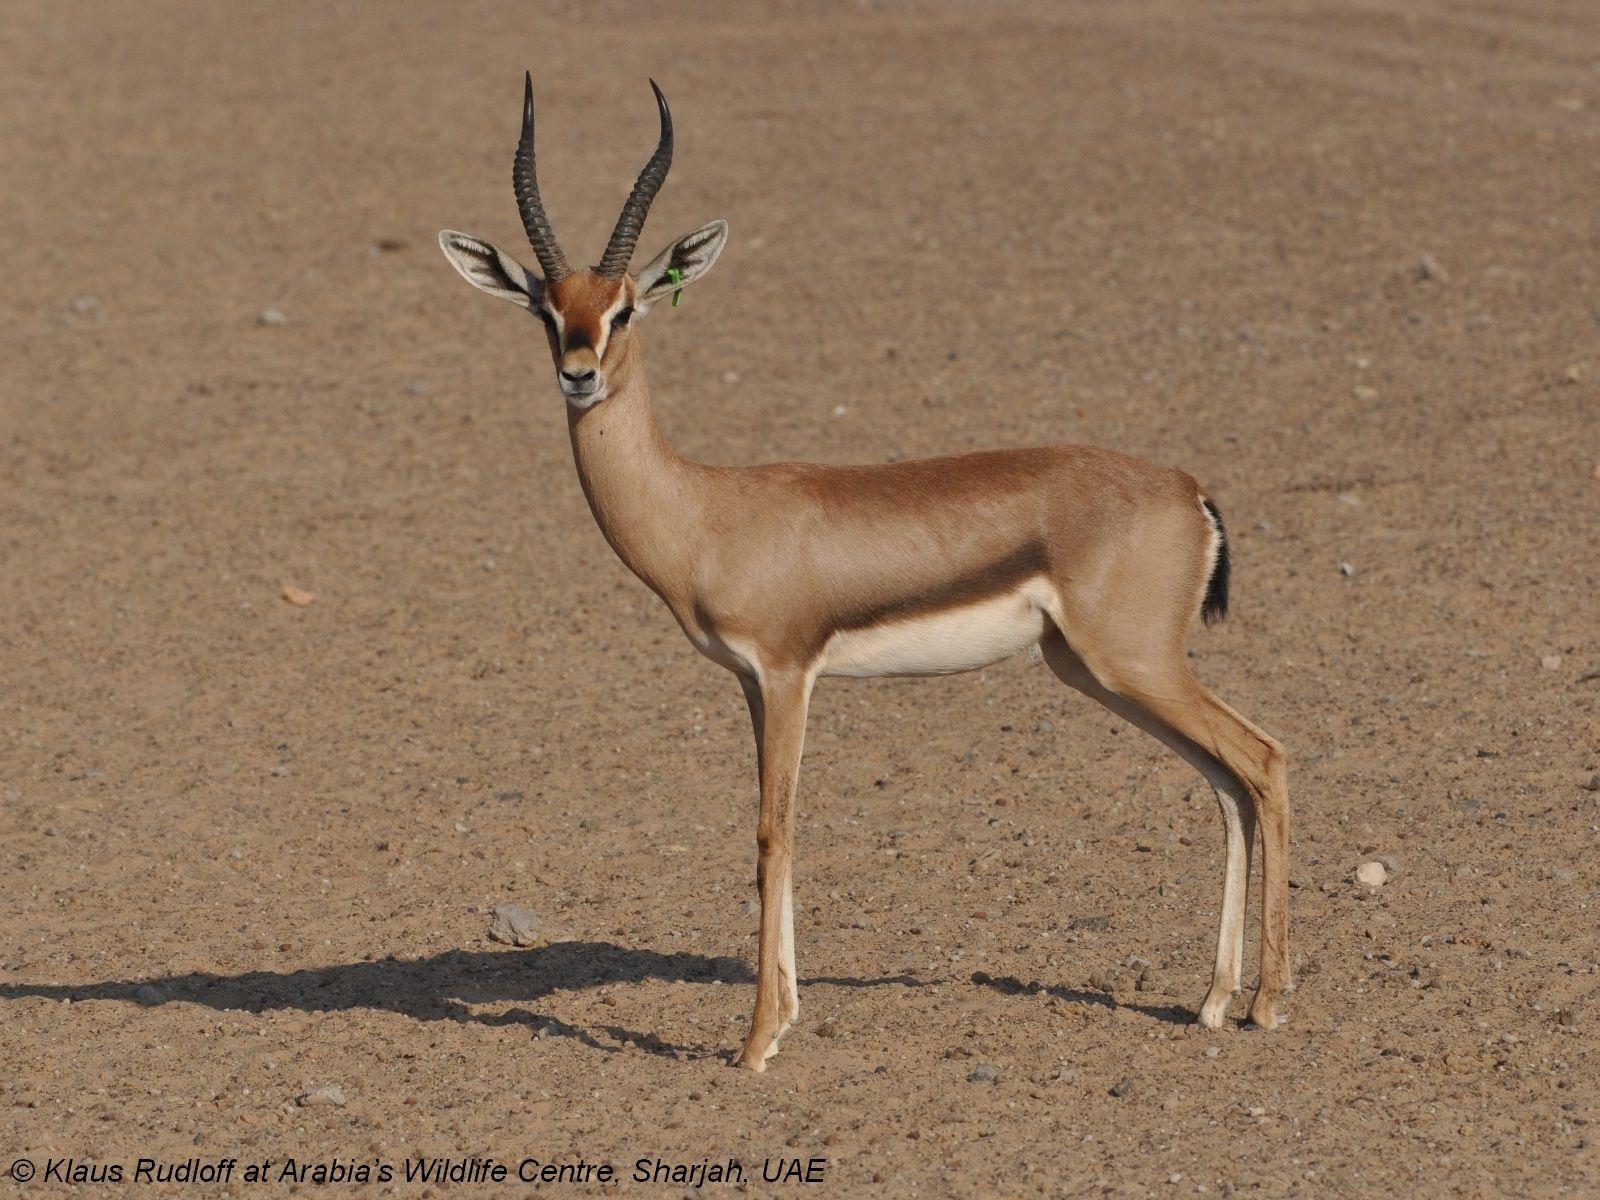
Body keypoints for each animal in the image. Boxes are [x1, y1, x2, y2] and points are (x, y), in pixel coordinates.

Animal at [439, 74, 1290, 1071]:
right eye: (547, 308)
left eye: (626, 308)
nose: (578, 374)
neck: (705, 510)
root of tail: (1189, 488)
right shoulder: (751, 683)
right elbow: (779, 829)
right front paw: (786, 1015)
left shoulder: (787, 673)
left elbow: (773, 830)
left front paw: (756, 1043)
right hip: (1095, 670)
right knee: (1225, 783)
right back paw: (1214, 999)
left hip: (1135, 664)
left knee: (1262, 760)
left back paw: (1267, 1003)